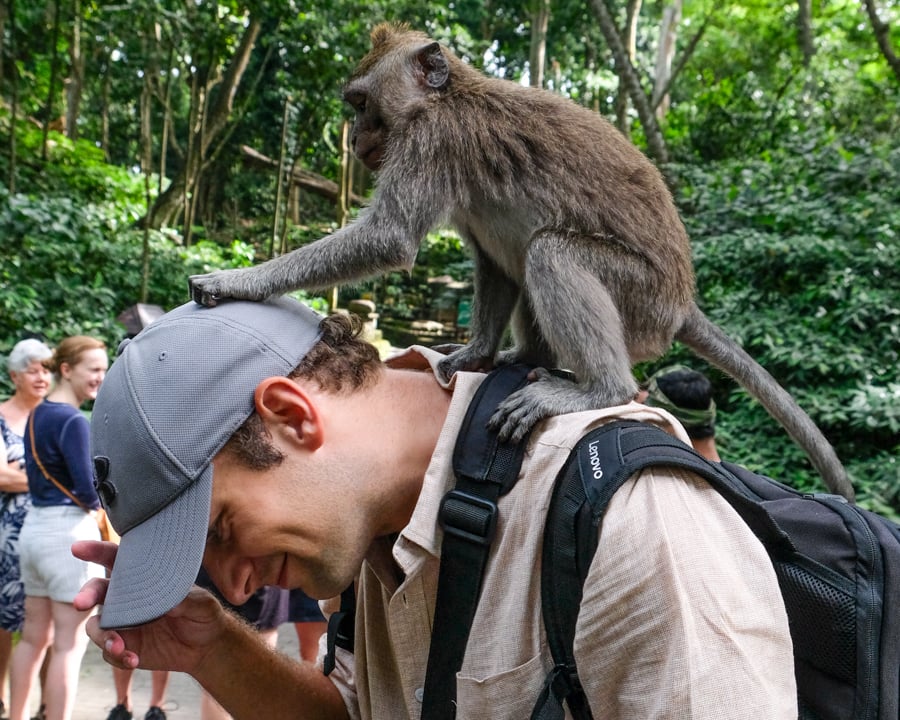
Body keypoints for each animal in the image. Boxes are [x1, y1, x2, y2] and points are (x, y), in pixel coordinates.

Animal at [189, 22, 854, 500]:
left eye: (360, 104)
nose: (353, 140)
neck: (449, 95)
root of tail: (681, 303)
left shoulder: (430, 141)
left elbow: (389, 238)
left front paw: (236, 279)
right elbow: (489, 261)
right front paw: (474, 353)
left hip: (641, 301)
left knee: (551, 253)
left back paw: (596, 388)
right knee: (519, 255)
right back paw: (525, 357)